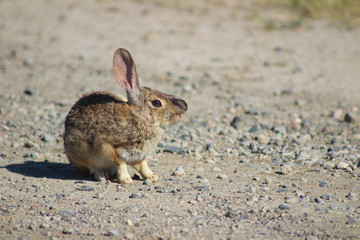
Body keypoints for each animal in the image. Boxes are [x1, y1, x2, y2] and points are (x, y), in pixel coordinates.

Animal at [64, 48, 188, 184]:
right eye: (156, 103)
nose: (178, 116)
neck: (140, 117)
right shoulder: (108, 146)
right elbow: (120, 163)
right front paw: (126, 180)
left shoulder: (138, 155)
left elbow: (143, 165)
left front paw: (152, 176)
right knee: (93, 168)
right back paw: (102, 175)